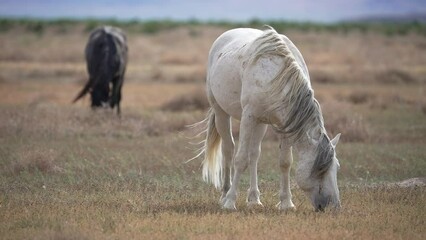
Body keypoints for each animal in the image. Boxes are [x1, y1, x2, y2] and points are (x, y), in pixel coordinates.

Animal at [195, 25, 342, 210]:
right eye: (320, 170)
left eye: (337, 167)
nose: (334, 207)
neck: (276, 75)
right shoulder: (248, 117)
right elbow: (240, 159)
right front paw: (230, 202)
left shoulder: (284, 124)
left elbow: (285, 162)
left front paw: (286, 203)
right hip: (221, 112)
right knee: (229, 150)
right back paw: (225, 195)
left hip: (261, 123)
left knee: (254, 155)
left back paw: (254, 199)